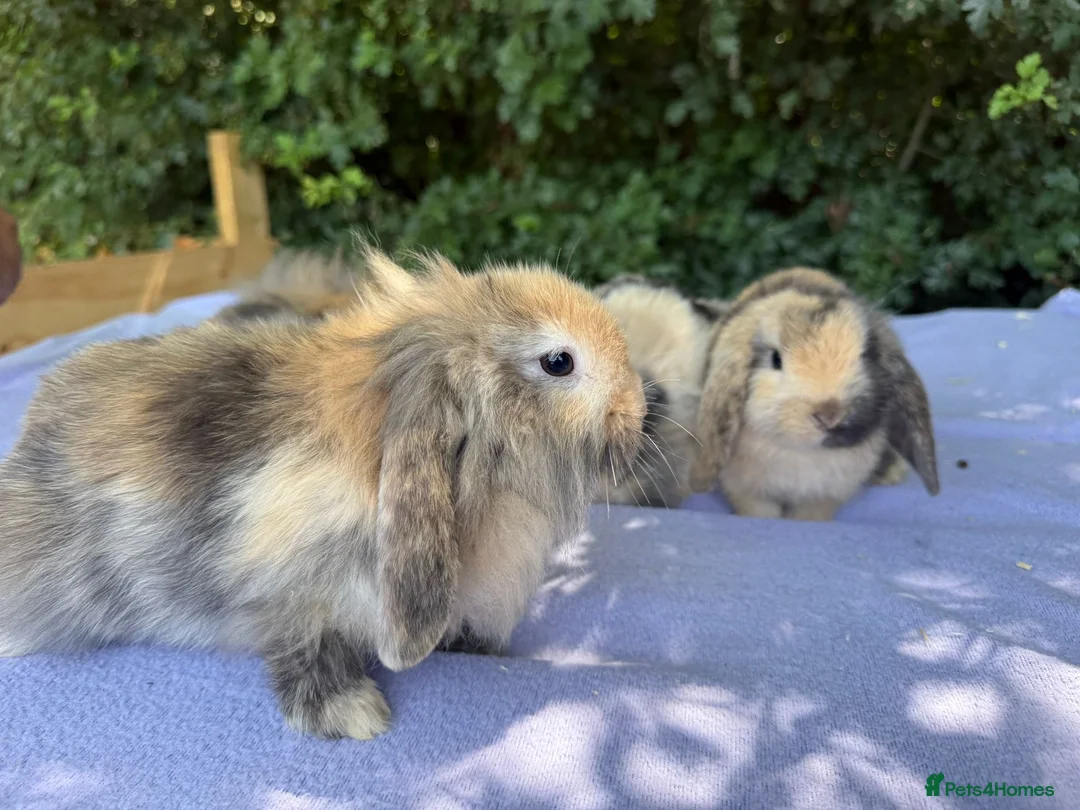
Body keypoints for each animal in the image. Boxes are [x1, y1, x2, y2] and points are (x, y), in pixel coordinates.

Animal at [689, 267, 940, 521]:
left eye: (864, 356)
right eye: (776, 359)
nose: (830, 415)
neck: (803, 453)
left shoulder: (825, 495)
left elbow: (811, 516)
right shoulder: (747, 490)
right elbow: (760, 512)